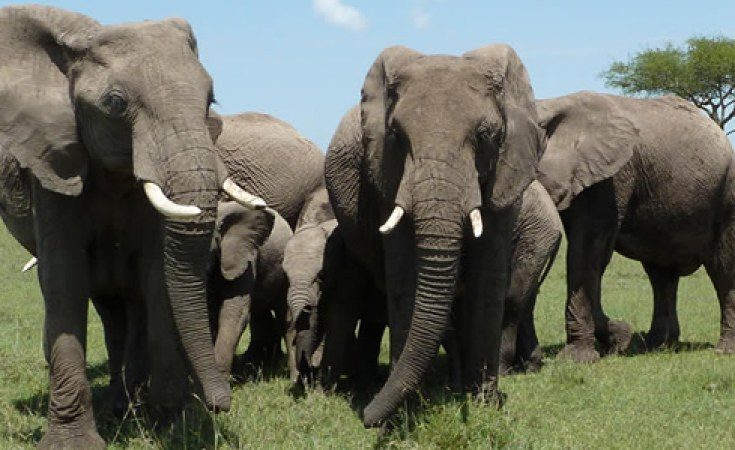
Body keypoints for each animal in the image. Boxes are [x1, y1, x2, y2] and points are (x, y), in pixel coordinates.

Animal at [0, 6, 274, 447]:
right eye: (115, 103)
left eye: (210, 99)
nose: (219, 403)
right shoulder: (55, 164)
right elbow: (64, 278)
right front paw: (74, 442)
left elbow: (156, 274)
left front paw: (170, 425)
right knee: (109, 309)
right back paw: (119, 403)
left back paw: (131, 403)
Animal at [324, 44, 544, 426]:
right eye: (396, 137)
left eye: (484, 136)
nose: (366, 418)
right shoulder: (386, 176)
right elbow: (403, 274)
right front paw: (408, 408)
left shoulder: (507, 174)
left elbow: (489, 276)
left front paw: (484, 404)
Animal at [535, 91, 735, 363]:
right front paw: (620, 339)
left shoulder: (611, 177)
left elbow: (588, 250)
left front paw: (579, 358)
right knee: (661, 276)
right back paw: (656, 346)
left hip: (727, 192)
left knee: (723, 268)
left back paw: (724, 351)